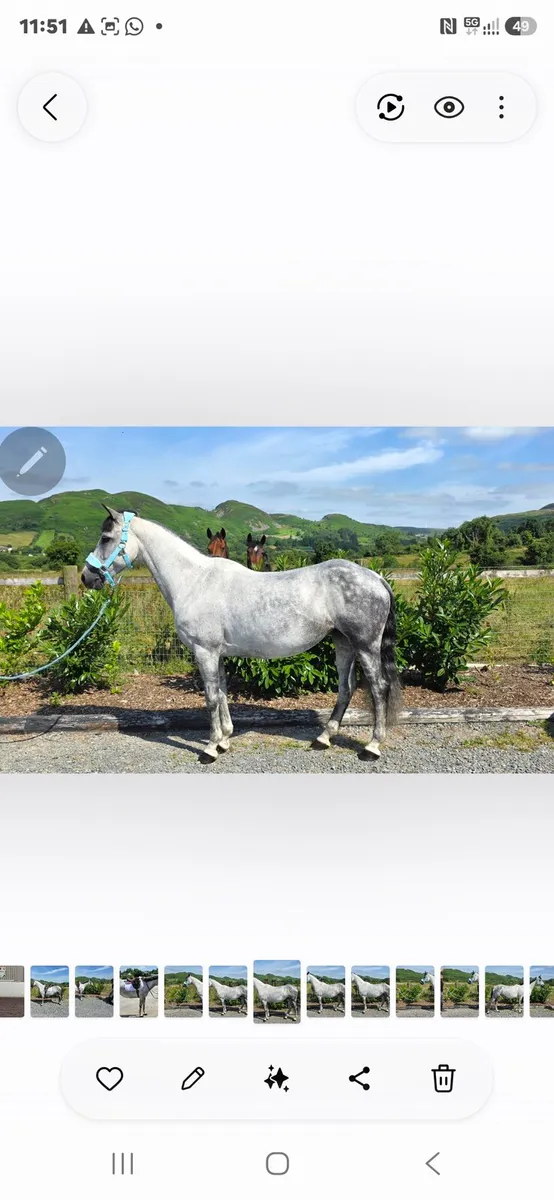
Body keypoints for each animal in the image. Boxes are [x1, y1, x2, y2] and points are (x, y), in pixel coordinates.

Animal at [82, 509, 401, 763]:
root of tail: (375, 577)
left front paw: (210, 749)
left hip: (366, 645)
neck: (195, 580)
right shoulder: (217, 654)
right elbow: (222, 693)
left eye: (106, 538)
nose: (87, 576)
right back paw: (323, 739)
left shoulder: (205, 652)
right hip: (343, 643)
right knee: (346, 688)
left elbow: (211, 698)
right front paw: (224, 740)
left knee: (378, 688)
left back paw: (372, 747)